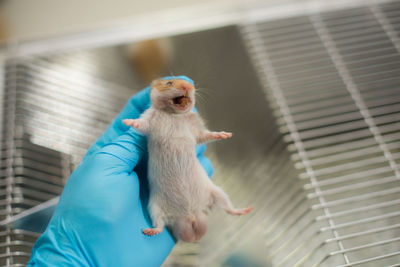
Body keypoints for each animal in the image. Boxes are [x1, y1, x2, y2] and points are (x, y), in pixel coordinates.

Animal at [123, 77, 252, 243]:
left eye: (191, 84)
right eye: (169, 82)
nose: (188, 86)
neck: (175, 115)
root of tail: (191, 216)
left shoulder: (196, 130)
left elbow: (207, 135)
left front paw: (225, 135)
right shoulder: (150, 119)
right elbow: (141, 123)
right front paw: (128, 122)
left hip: (217, 193)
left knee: (229, 209)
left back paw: (246, 210)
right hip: (154, 207)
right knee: (160, 224)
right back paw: (149, 231)